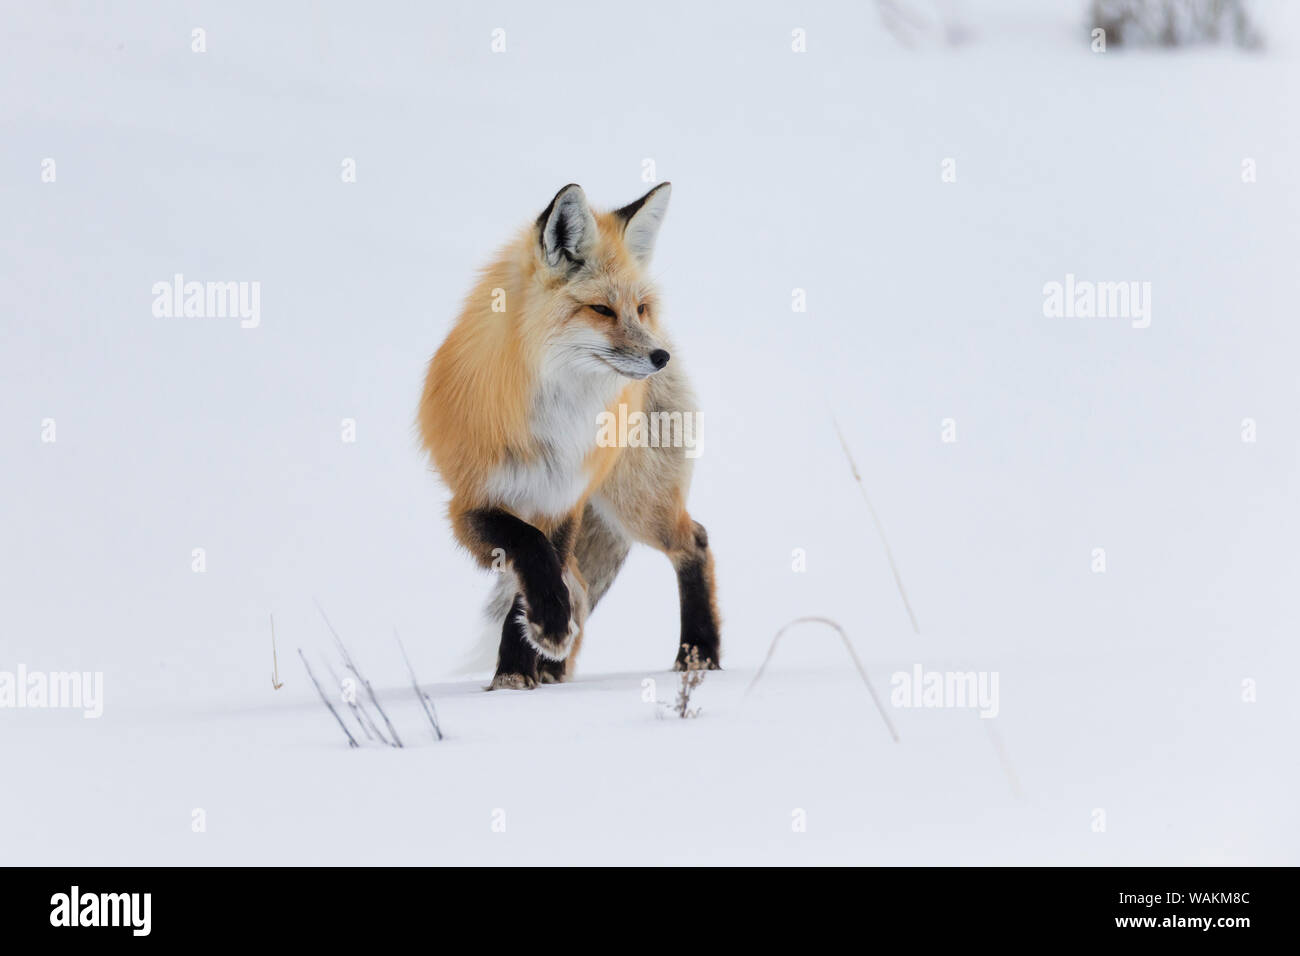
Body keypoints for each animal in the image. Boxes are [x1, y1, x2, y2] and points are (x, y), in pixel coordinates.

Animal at [418, 183, 721, 689]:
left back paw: (699, 653)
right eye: (601, 309)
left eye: (638, 308)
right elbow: (529, 552)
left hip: (638, 501)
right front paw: (529, 657)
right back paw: (557, 666)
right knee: (579, 579)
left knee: (694, 541)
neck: (556, 425)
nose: (659, 357)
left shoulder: (563, 502)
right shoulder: (471, 502)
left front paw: (521, 661)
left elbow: (537, 572)